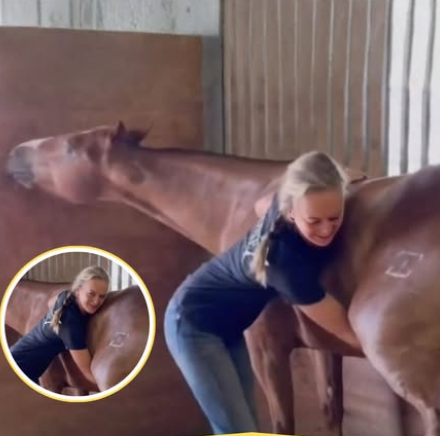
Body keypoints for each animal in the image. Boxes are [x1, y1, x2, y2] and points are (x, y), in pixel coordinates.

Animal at [9, 123, 440, 435]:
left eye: (71, 148)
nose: (15, 154)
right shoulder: (322, 347)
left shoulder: (266, 347)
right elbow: (331, 410)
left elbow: (282, 423)